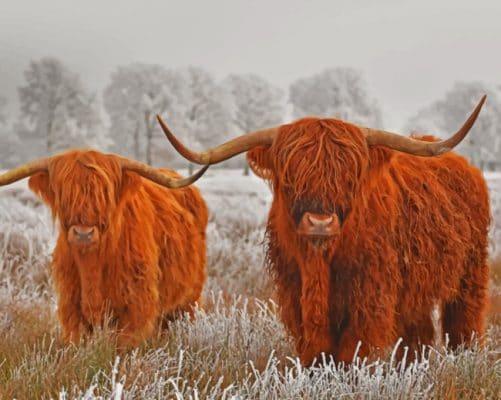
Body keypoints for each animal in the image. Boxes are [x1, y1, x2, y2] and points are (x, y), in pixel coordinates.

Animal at [0, 150, 207, 346]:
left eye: (104, 194)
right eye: (64, 193)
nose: (83, 233)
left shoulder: (136, 309)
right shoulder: (71, 309)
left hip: (189, 299)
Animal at [158, 97, 490, 366]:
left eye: (349, 176)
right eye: (290, 175)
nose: (319, 222)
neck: (320, 264)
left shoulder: (369, 301)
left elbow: (352, 354)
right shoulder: (295, 296)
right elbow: (316, 353)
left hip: (470, 275)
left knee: (463, 323)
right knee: (418, 335)